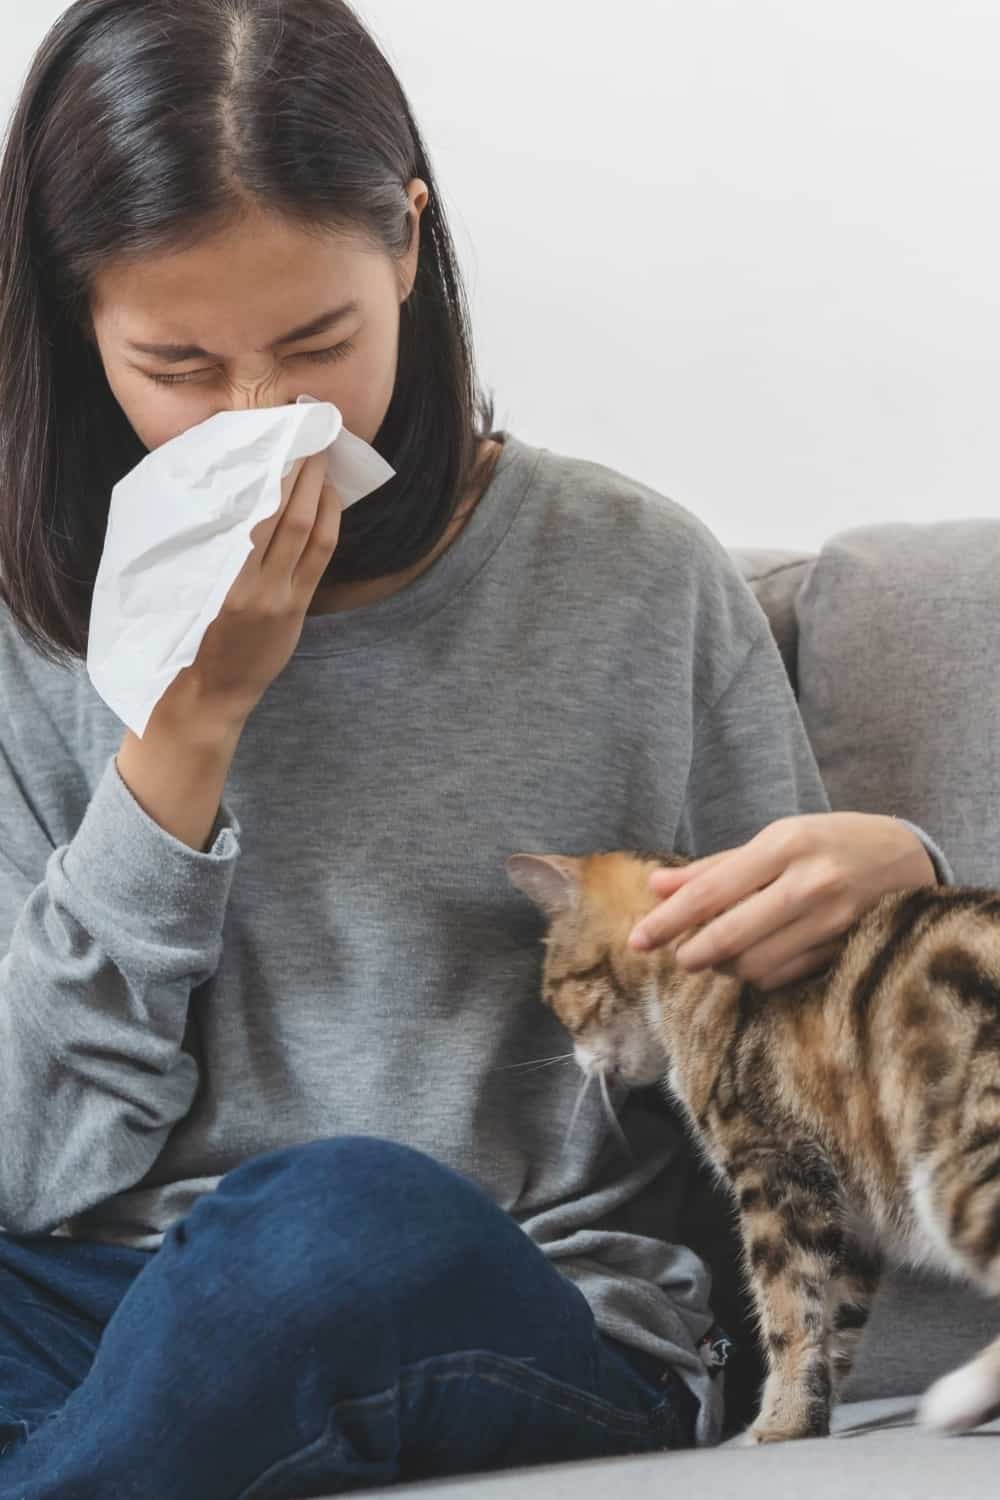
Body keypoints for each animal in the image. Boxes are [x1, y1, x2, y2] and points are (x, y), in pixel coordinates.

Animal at [512, 846, 1000, 1440]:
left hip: (957, 1162)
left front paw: (781, 1420)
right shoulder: (851, 1215)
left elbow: (789, 1306)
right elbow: (837, 1322)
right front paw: (811, 1416)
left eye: (553, 994)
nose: (580, 1065)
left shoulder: (775, 1166)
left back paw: (962, 1396)